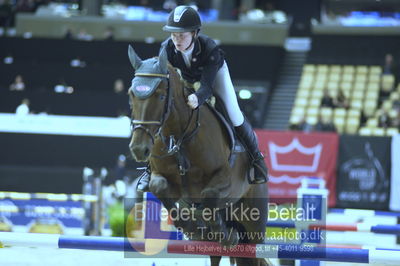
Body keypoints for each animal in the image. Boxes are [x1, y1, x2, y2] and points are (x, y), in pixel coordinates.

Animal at [128, 44, 270, 264]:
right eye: (131, 95)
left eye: (160, 96)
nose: (138, 149)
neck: (179, 137)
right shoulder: (164, 179)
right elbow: (159, 186)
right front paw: (192, 226)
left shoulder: (226, 179)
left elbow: (209, 194)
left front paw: (224, 233)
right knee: (216, 252)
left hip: (254, 222)